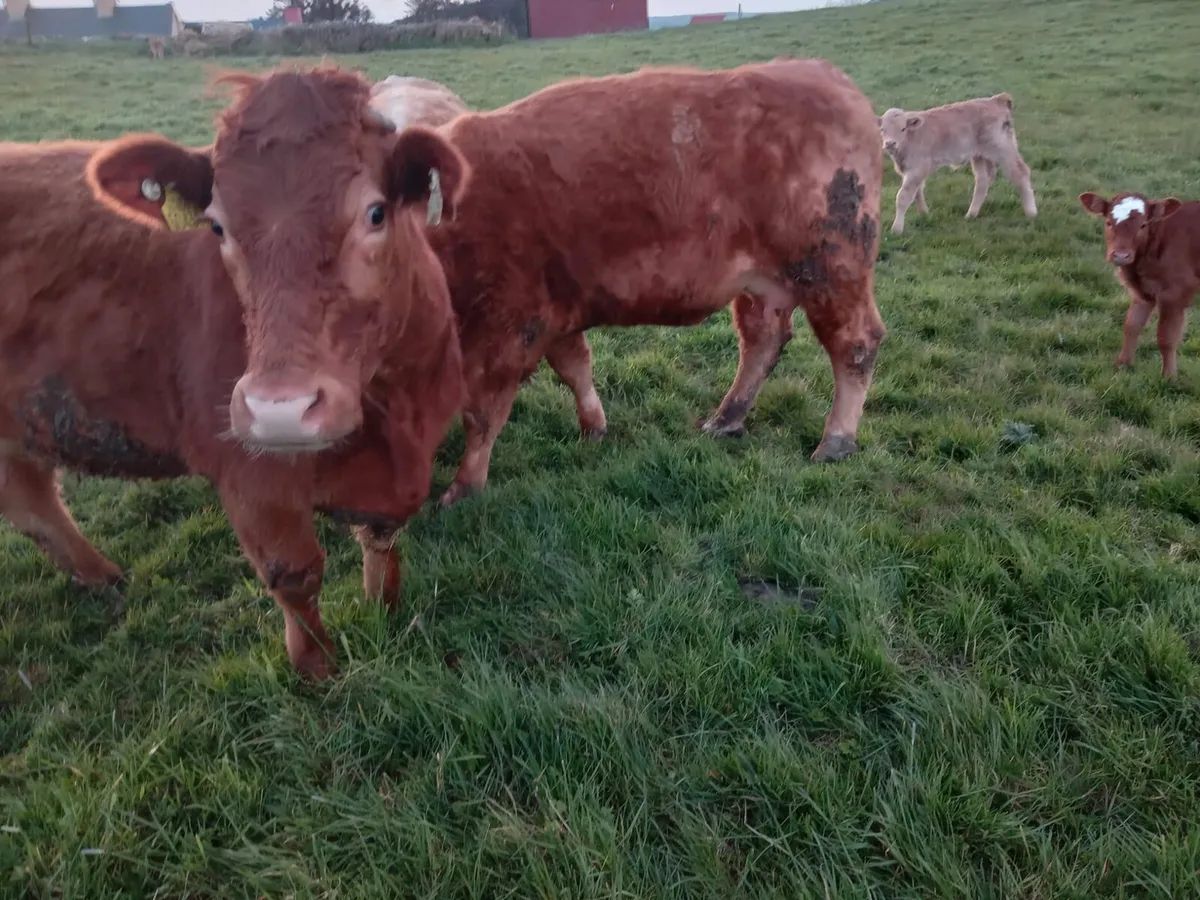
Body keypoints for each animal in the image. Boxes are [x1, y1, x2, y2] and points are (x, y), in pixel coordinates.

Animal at [1, 129, 466, 682]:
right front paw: (317, 668)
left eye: (376, 213)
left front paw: (385, 611)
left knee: (32, 503)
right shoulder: (252, 480)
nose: (279, 410)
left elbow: (381, 539)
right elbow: (294, 574)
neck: (394, 413)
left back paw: (105, 578)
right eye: (217, 226)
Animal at [85, 59, 886, 511]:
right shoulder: (555, 309)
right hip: (766, 279)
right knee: (763, 338)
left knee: (856, 345)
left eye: (374, 212)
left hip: (834, 264)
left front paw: (465, 485)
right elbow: (577, 366)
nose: (280, 407)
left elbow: (483, 413)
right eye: (218, 225)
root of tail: (829, 78)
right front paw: (594, 427)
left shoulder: (508, 326)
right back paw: (729, 416)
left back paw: (837, 438)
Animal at [878, 92, 1038, 234]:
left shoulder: (917, 169)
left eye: (902, 128)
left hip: (1002, 150)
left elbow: (903, 196)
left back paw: (1031, 212)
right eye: (882, 130)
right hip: (979, 156)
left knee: (1020, 173)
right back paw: (971, 215)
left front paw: (896, 229)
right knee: (982, 182)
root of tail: (996, 100)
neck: (912, 136)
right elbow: (918, 192)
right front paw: (924, 213)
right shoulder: (911, 171)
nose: (890, 143)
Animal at [1079, 191, 1200, 378]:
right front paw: (1122, 364)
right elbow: (1131, 326)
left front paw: (1169, 376)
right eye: (1108, 222)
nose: (1121, 256)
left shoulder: (1176, 293)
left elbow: (1166, 337)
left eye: (1143, 225)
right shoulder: (1142, 293)